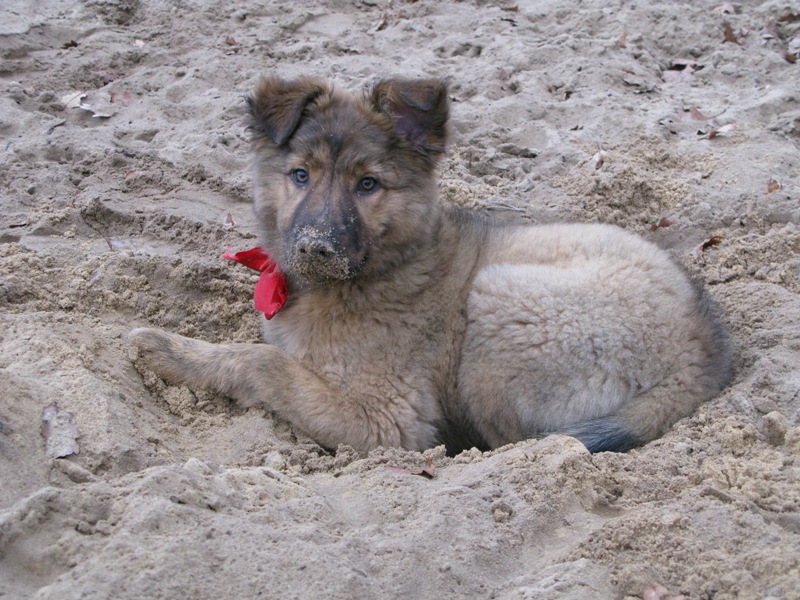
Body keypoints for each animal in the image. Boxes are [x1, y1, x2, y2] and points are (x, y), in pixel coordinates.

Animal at [128, 76, 736, 454]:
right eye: (300, 175)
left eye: (367, 184)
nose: (316, 248)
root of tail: (702, 353)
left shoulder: (387, 421)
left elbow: (264, 364)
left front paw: (167, 348)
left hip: (499, 302)